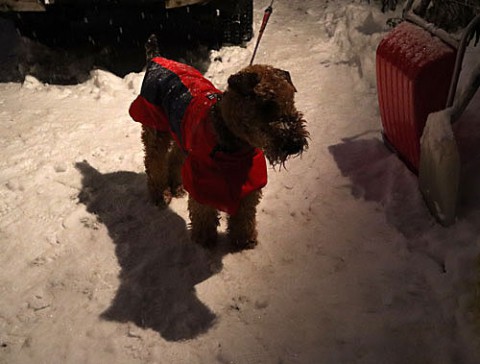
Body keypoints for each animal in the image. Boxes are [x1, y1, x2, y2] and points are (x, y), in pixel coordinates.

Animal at [128, 34, 308, 250]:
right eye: (266, 104)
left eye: (291, 100)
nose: (295, 143)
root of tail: (156, 58)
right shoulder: (201, 179)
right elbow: (203, 213)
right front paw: (205, 240)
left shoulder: (250, 180)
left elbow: (245, 215)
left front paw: (244, 240)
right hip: (155, 130)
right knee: (154, 164)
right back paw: (161, 195)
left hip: (180, 135)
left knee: (173, 160)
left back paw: (177, 187)